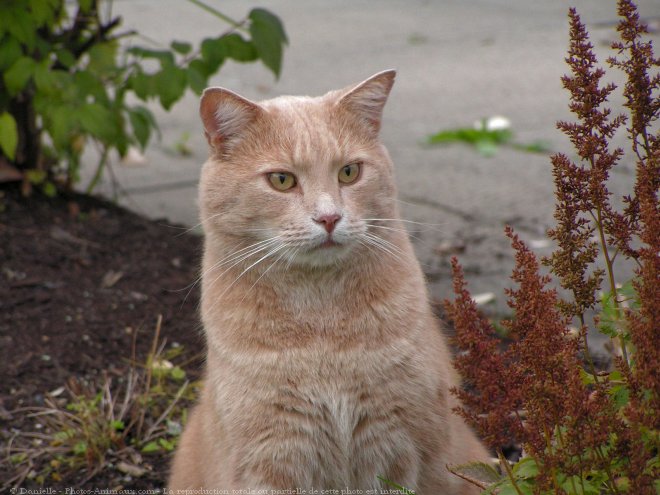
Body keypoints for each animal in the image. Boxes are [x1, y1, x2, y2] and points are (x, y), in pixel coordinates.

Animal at [170, 70, 490, 495]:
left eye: (349, 172)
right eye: (282, 180)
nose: (329, 218)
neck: (320, 323)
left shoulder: (398, 450)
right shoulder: (271, 458)